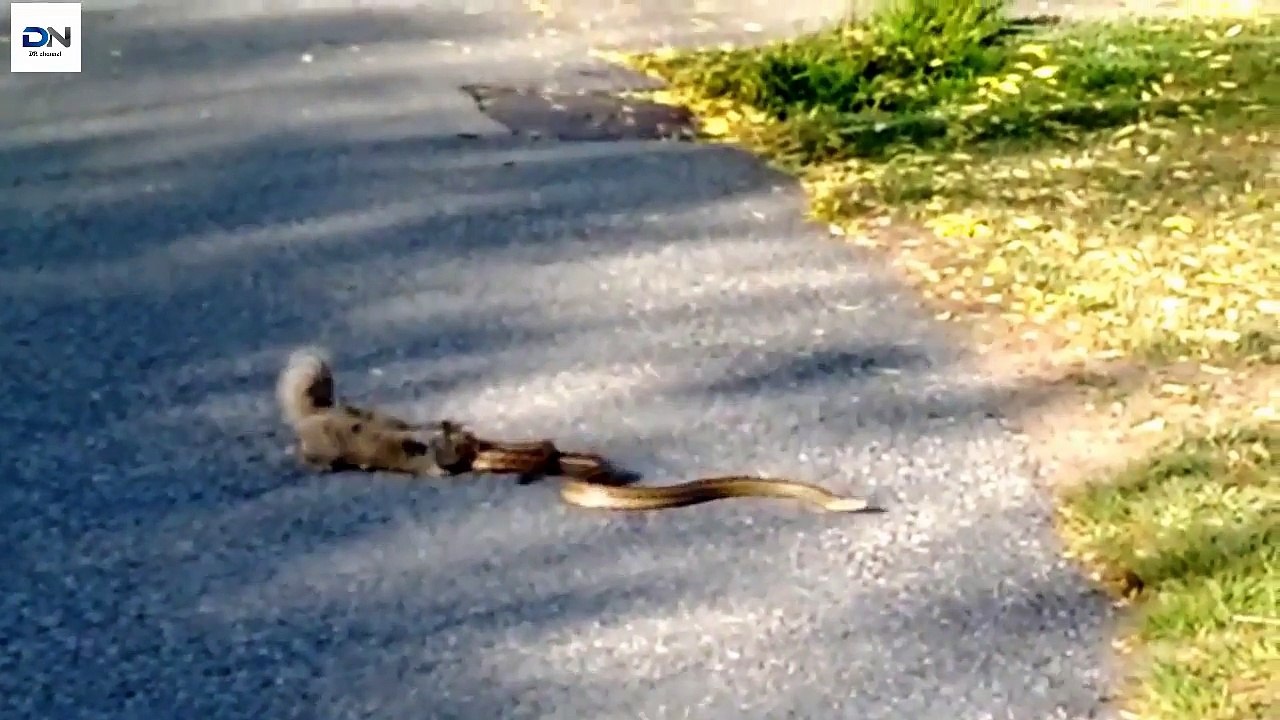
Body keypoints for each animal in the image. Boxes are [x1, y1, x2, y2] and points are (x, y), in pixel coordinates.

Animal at [275, 347, 473, 476]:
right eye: (457, 445)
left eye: (463, 437)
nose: (470, 439)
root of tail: (316, 414)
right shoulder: (413, 456)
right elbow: (424, 465)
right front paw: (441, 470)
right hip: (324, 446)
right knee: (309, 457)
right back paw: (323, 466)